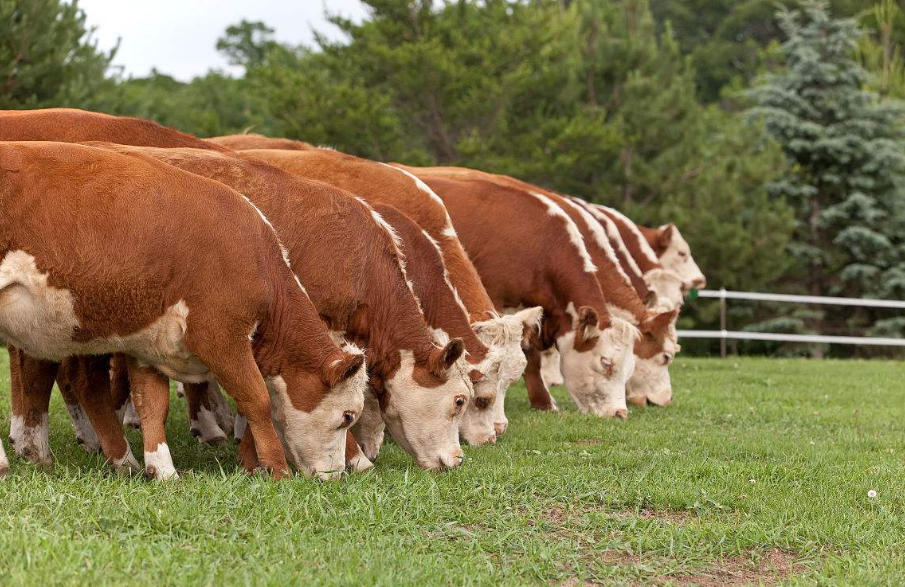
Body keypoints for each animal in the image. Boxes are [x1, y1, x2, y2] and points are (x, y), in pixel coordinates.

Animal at [0, 140, 368, 480]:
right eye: (348, 416)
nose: (337, 475)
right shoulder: (220, 336)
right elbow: (257, 399)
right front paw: (278, 471)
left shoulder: (147, 345)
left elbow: (152, 405)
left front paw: (163, 471)